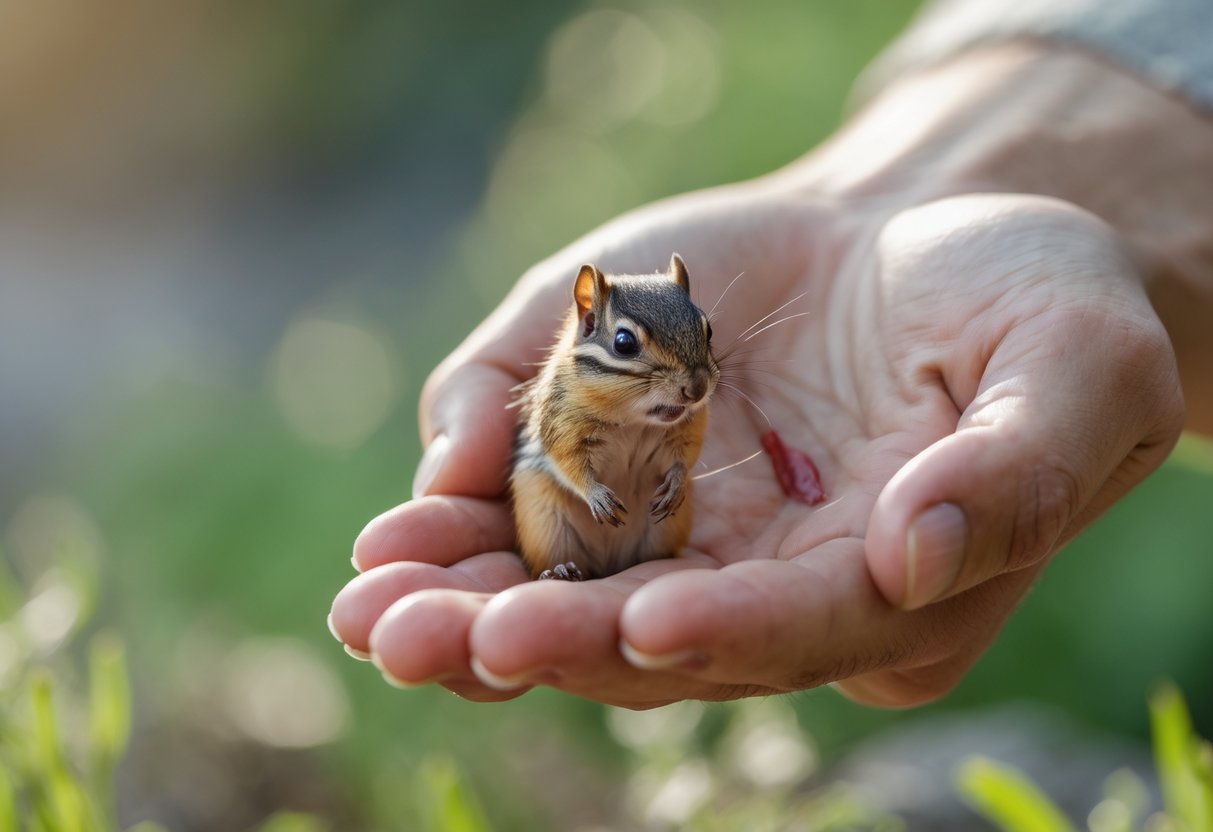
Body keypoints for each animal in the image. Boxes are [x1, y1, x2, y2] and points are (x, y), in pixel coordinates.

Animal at [511, 253, 719, 580]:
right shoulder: (561, 423)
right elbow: (569, 463)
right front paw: (597, 495)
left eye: (707, 330)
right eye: (623, 342)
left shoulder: (689, 427)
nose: (697, 388)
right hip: (545, 523)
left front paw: (676, 483)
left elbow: (684, 457)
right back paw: (558, 571)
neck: (633, 419)